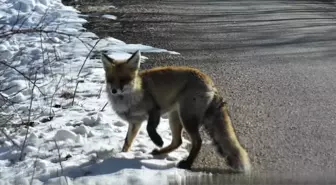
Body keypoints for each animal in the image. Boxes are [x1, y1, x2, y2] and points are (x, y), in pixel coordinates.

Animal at [101, 49, 251, 173]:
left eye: (124, 80)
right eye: (111, 80)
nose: (114, 91)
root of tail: (210, 82)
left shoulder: (154, 109)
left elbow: (150, 128)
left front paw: (158, 140)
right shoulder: (135, 122)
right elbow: (127, 142)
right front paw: (122, 154)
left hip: (186, 118)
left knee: (198, 141)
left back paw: (187, 163)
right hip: (175, 117)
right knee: (177, 141)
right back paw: (160, 152)